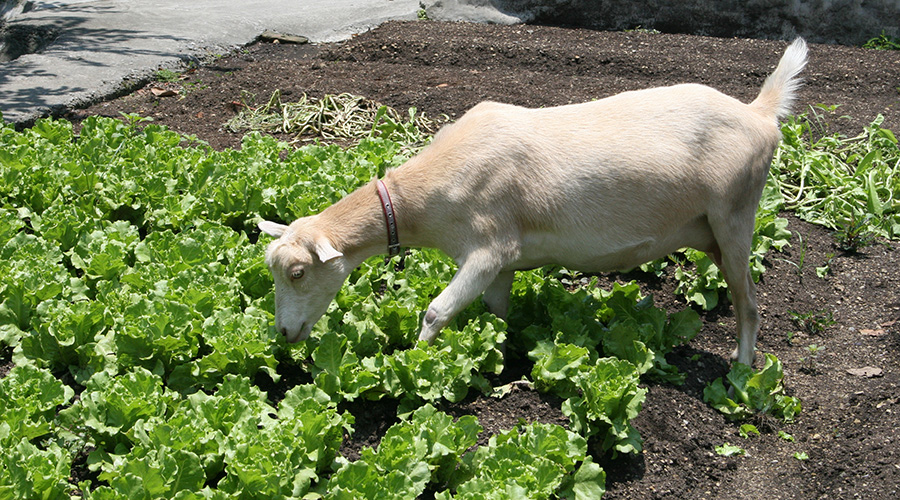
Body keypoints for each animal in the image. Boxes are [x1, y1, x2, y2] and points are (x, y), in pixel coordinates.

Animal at [260, 37, 808, 366]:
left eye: (298, 272)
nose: (283, 334)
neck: (423, 197)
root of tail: (760, 114)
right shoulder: (503, 263)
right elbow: (498, 311)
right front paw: (501, 351)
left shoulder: (488, 246)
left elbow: (436, 313)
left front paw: (416, 365)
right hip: (708, 228)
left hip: (736, 215)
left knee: (750, 303)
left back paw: (741, 371)